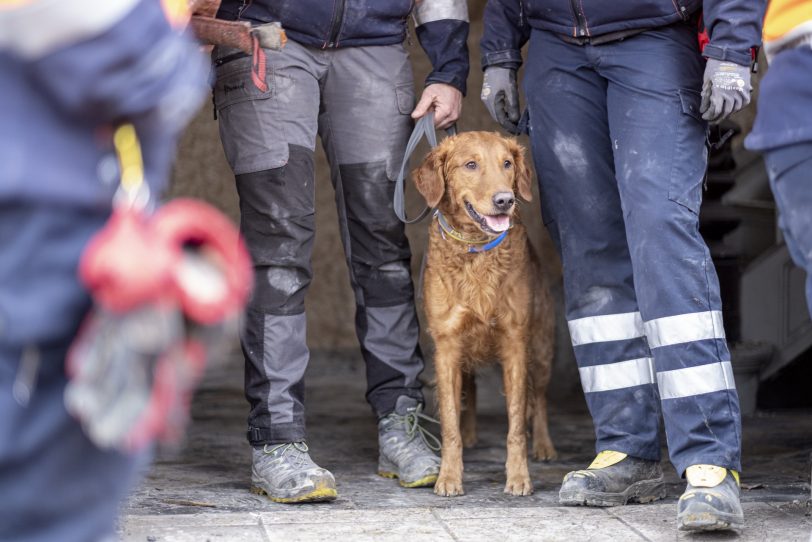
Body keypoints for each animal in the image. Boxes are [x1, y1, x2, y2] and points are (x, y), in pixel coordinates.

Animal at [412, 131, 560, 498]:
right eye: (470, 164)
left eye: (507, 163)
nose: (506, 200)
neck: (476, 250)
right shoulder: (447, 345)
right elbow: (450, 421)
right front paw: (449, 476)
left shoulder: (515, 344)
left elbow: (517, 423)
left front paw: (519, 476)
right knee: (470, 389)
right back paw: (470, 435)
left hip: (542, 348)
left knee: (540, 399)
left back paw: (544, 446)